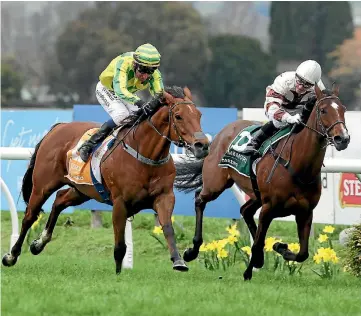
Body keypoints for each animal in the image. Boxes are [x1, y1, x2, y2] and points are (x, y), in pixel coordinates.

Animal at [2, 85, 208, 272]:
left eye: (199, 115)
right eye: (179, 116)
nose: (202, 145)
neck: (145, 156)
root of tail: (58, 127)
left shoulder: (164, 197)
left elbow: (167, 228)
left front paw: (179, 260)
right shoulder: (120, 202)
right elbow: (120, 246)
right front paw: (118, 275)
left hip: (83, 189)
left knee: (60, 200)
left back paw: (39, 243)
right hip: (43, 185)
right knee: (29, 216)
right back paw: (11, 256)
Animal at [174, 83, 348, 278]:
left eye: (343, 109)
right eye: (323, 110)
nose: (343, 138)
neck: (298, 166)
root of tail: (220, 134)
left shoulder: (305, 212)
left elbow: (303, 253)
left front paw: (280, 247)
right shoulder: (269, 207)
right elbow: (257, 243)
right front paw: (249, 271)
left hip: (254, 194)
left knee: (245, 211)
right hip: (215, 184)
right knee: (200, 200)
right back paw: (192, 250)